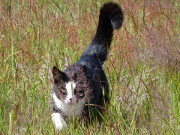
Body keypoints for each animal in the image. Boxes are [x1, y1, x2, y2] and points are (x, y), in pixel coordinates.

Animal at [51, 1, 123, 131]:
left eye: (78, 91)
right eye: (63, 90)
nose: (70, 99)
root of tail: (90, 55)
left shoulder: (89, 105)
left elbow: (86, 121)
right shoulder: (56, 104)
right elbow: (57, 116)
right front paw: (61, 127)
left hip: (103, 95)